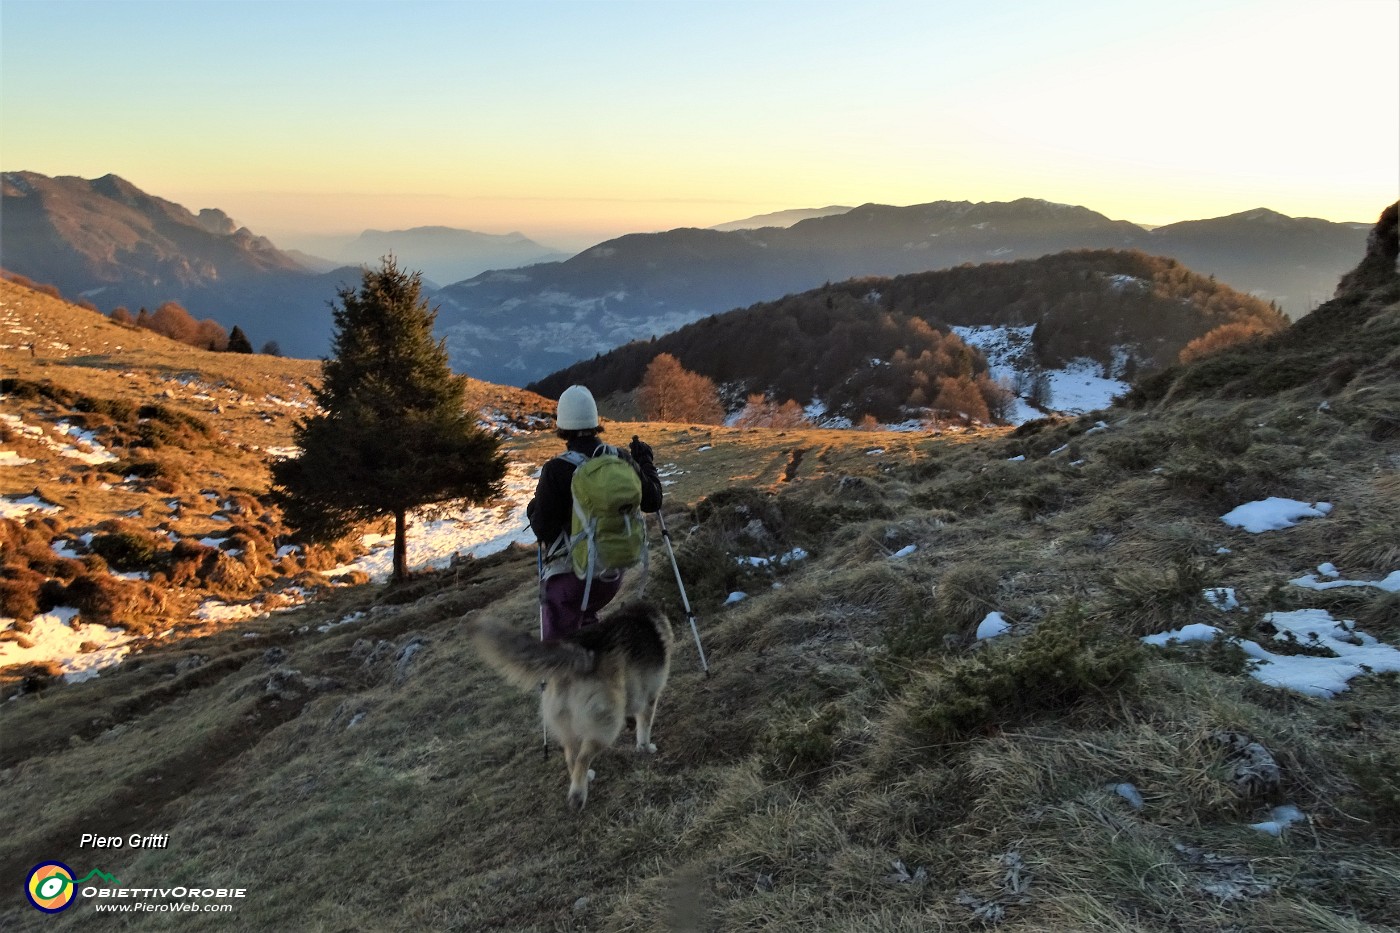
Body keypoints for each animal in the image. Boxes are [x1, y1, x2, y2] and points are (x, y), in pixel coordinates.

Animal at [473, 602, 674, 806]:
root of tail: (579, 655)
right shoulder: (650, 698)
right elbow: (644, 728)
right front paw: (645, 748)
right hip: (607, 724)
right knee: (583, 758)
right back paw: (578, 795)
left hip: (567, 722)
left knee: (571, 757)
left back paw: (586, 777)